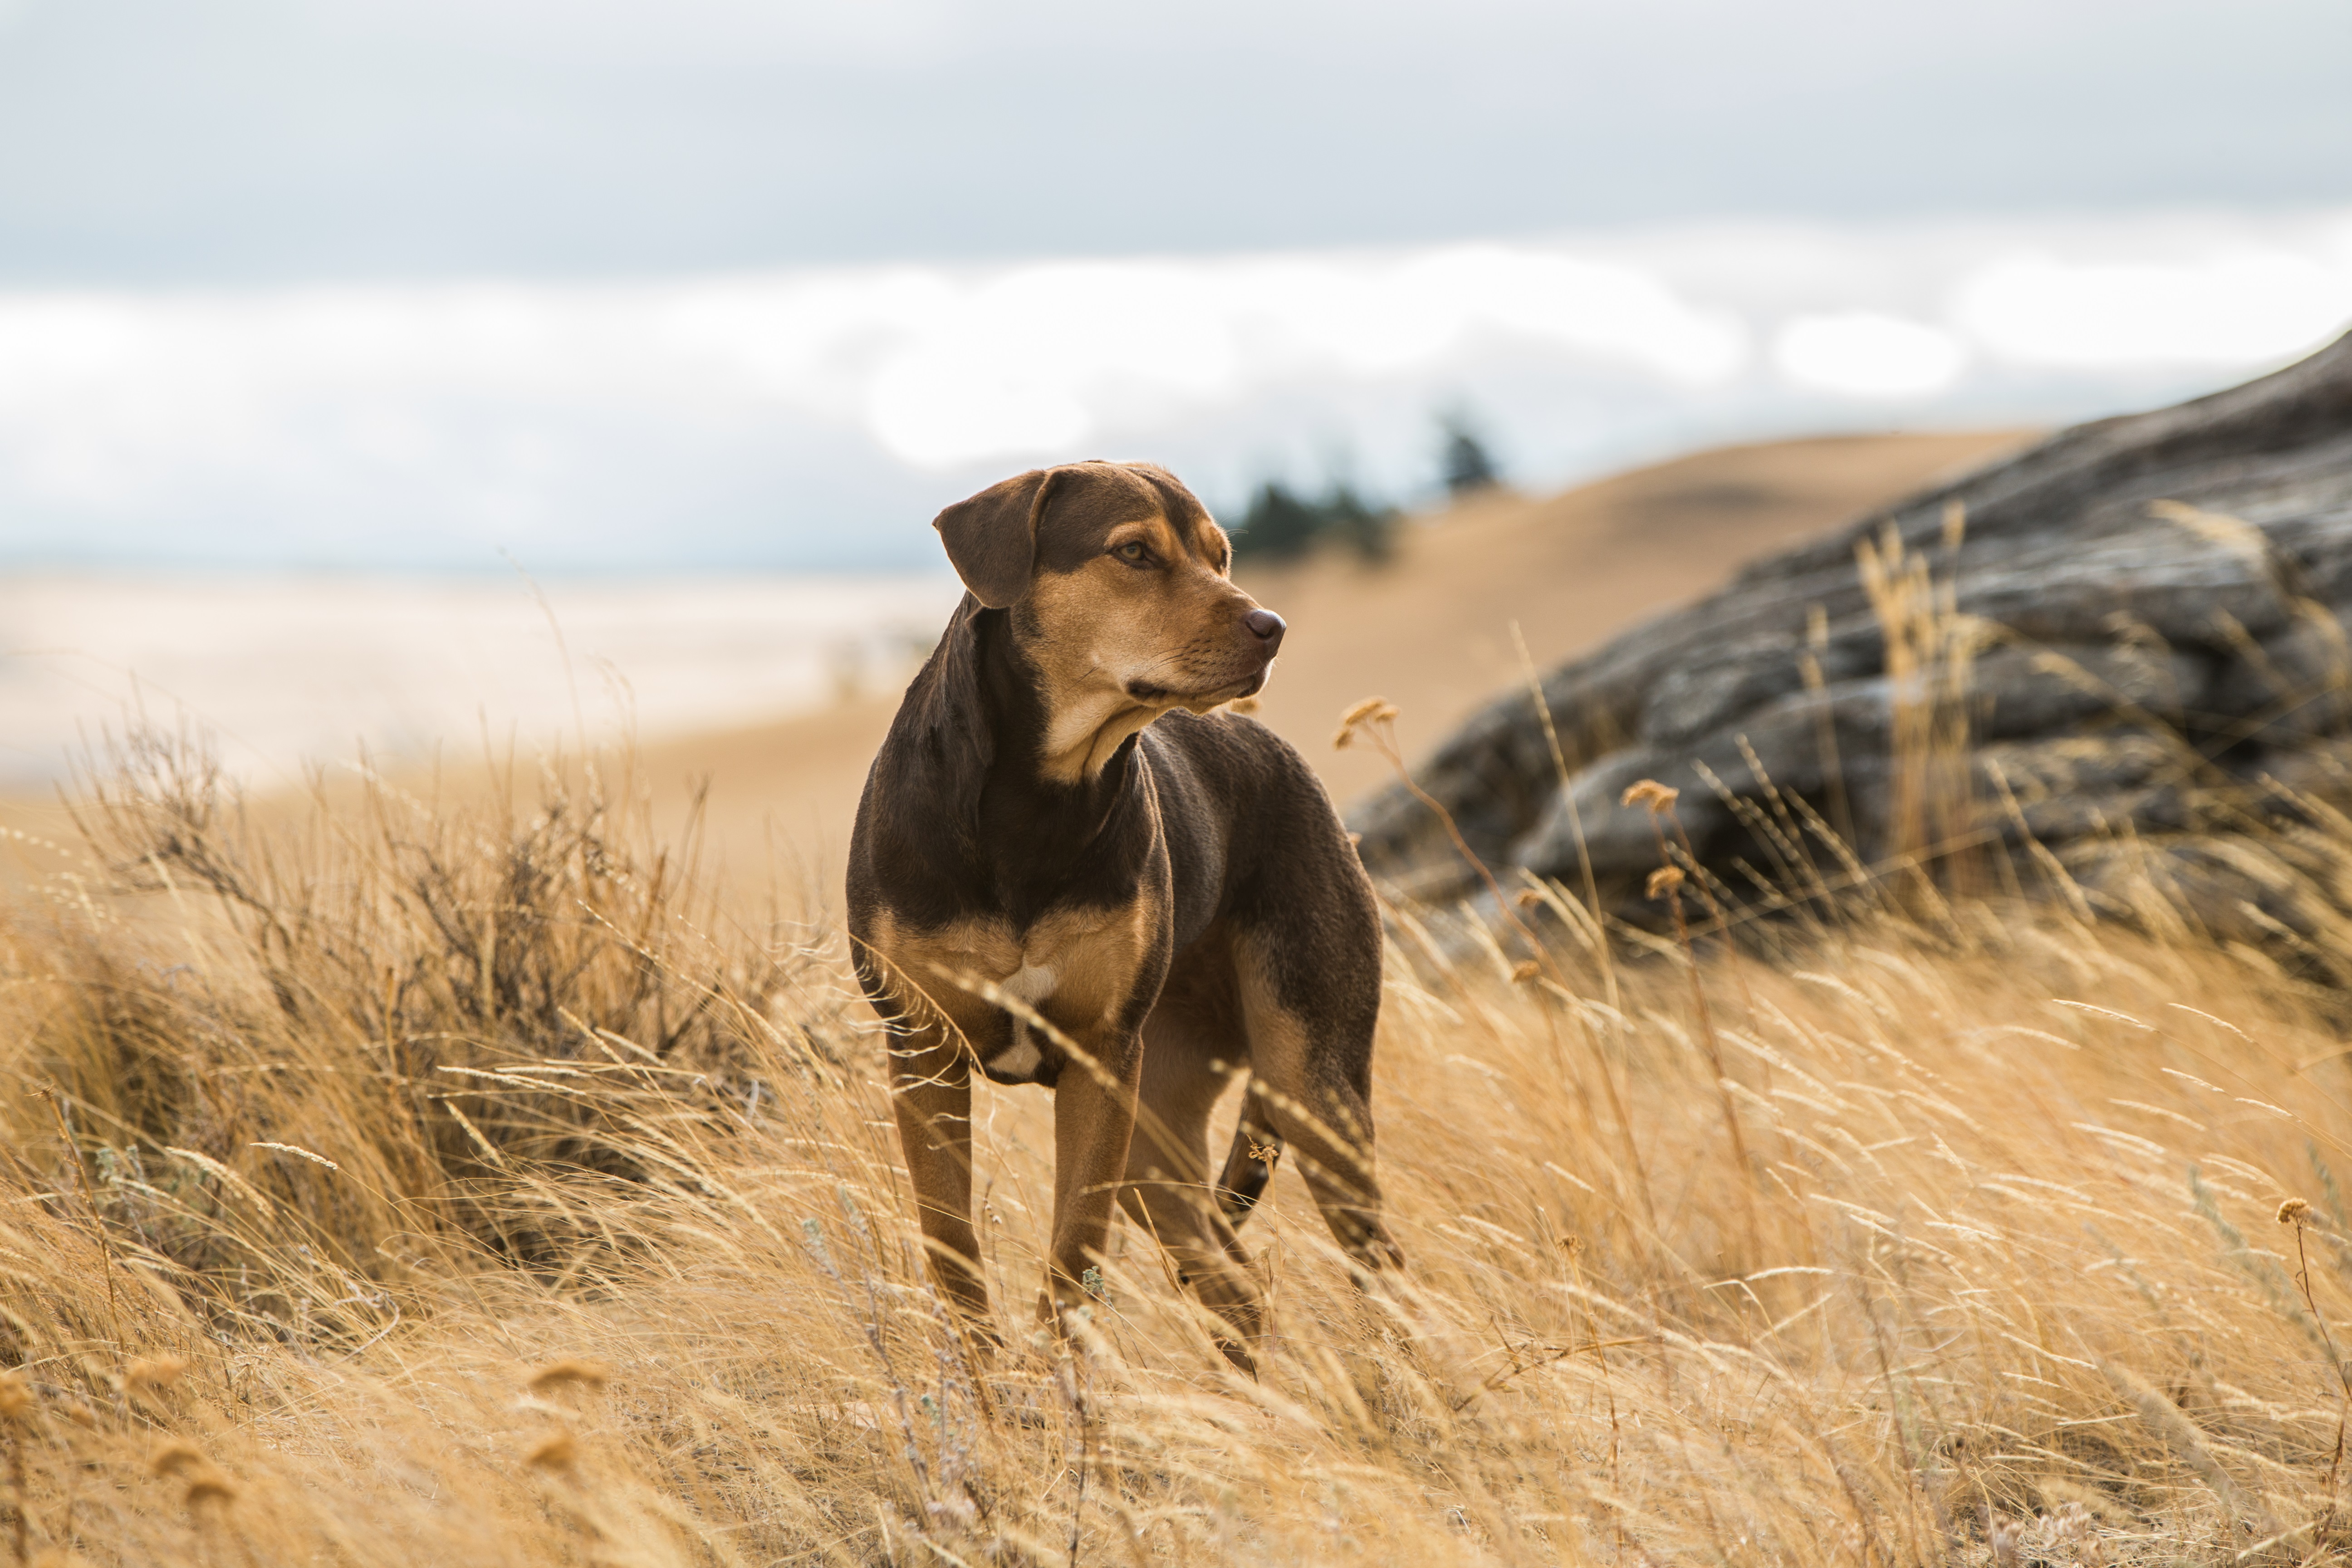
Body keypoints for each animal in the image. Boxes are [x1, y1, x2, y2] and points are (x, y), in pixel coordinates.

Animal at [847, 456, 1392, 1363]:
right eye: (1133, 552)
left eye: (1220, 554)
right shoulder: (924, 1050)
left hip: (1306, 1083)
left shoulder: (1102, 1061)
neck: (1037, 801)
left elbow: (1072, 1262)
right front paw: (992, 1389)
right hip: (1157, 1133)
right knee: (1235, 1281)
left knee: (1375, 1272)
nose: (1271, 627)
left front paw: (1062, 1393)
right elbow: (953, 1255)